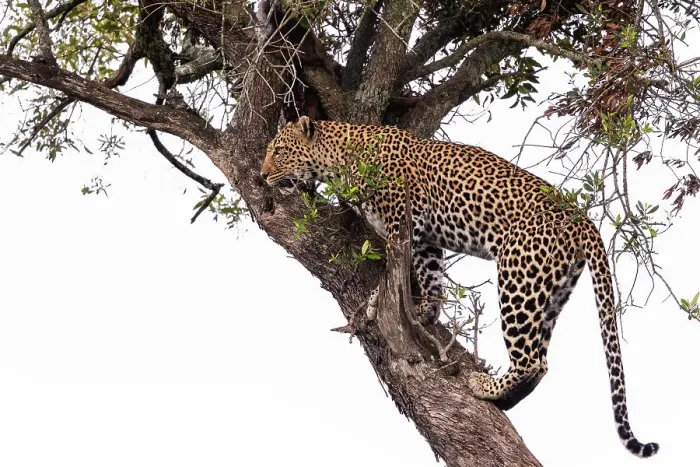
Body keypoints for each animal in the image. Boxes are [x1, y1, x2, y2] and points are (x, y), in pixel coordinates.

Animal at [260, 116, 659, 458]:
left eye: (278, 150)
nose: (262, 175)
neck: (339, 156)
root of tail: (584, 220)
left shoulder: (401, 222)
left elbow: (392, 267)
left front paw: (376, 301)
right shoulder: (424, 240)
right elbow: (430, 275)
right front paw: (423, 310)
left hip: (518, 279)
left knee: (529, 359)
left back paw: (484, 386)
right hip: (551, 289)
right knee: (542, 360)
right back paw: (503, 399)